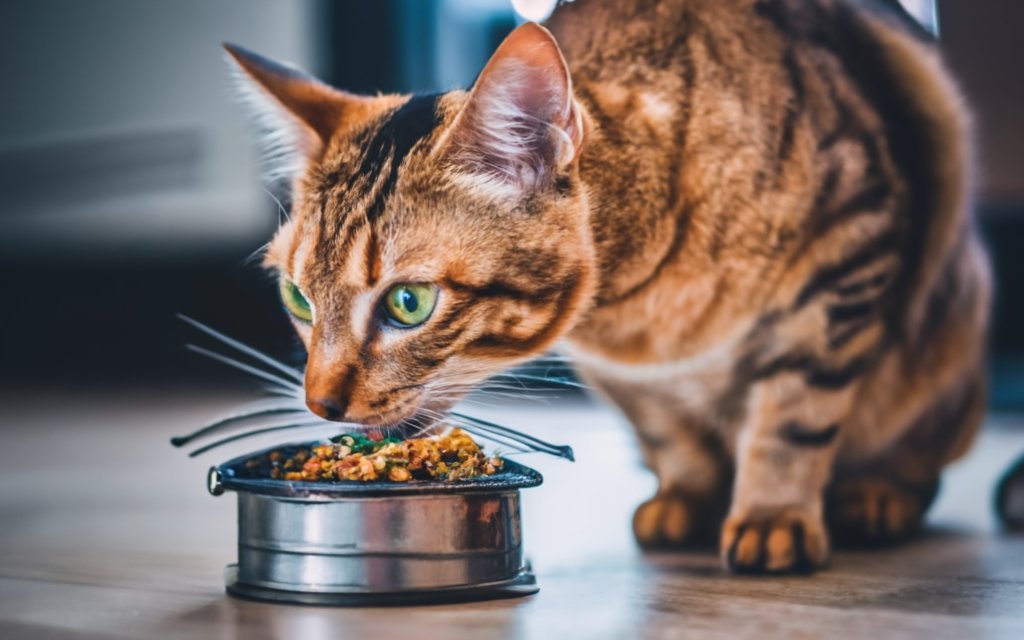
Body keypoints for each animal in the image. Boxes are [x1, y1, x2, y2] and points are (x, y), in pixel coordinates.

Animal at [226, 0, 991, 573]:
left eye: (408, 303)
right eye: (298, 298)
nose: (320, 402)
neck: (637, 315)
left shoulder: (851, 247)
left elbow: (794, 412)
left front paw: (773, 511)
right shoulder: (621, 375)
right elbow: (667, 428)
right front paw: (685, 496)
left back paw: (877, 494)